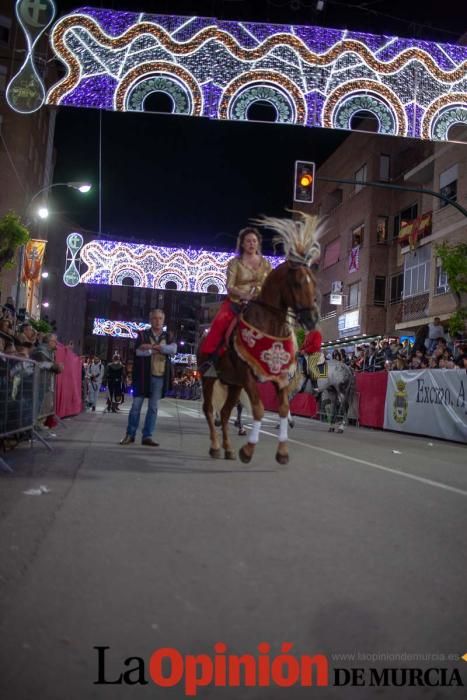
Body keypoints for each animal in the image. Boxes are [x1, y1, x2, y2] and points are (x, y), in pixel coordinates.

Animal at [197, 213, 322, 464]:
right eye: (297, 283)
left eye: (313, 281)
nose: (312, 318)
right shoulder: (248, 375)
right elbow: (259, 409)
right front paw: (248, 450)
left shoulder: (279, 377)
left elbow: (282, 409)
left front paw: (282, 452)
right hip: (209, 378)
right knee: (209, 410)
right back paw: (216, 446)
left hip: (233, 383)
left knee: (224, 412)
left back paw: (228, 448)